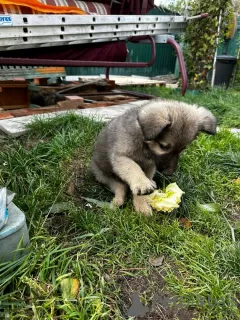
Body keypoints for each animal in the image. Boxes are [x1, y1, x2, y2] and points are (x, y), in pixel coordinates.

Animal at [90, 100, 218, 215]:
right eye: (163, 147)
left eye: (183, 149)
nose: (169, 173)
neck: (145, 144)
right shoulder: (120, 157)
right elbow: (132, 167)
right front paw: (142, 183)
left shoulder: (150, 166)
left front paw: (141, 205)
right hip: (103, 176)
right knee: (120, 187)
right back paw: (117, 201)